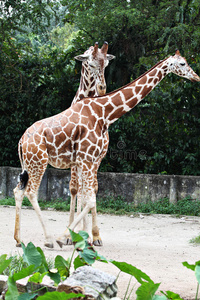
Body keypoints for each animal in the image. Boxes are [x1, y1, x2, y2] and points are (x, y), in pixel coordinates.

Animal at [13, 51, 199, 248]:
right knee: (31, 192)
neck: (105, 114)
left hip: (28, 165)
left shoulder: (93, 159)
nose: (196, 77)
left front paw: (87, 237)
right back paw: (48, 239)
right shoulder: (86, 159)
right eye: (183, 63)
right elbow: (89, 198)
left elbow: (91, 195)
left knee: (18, 191)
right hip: (38, 161)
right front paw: (67, 237)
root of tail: (21, 141)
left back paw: (19, 239)